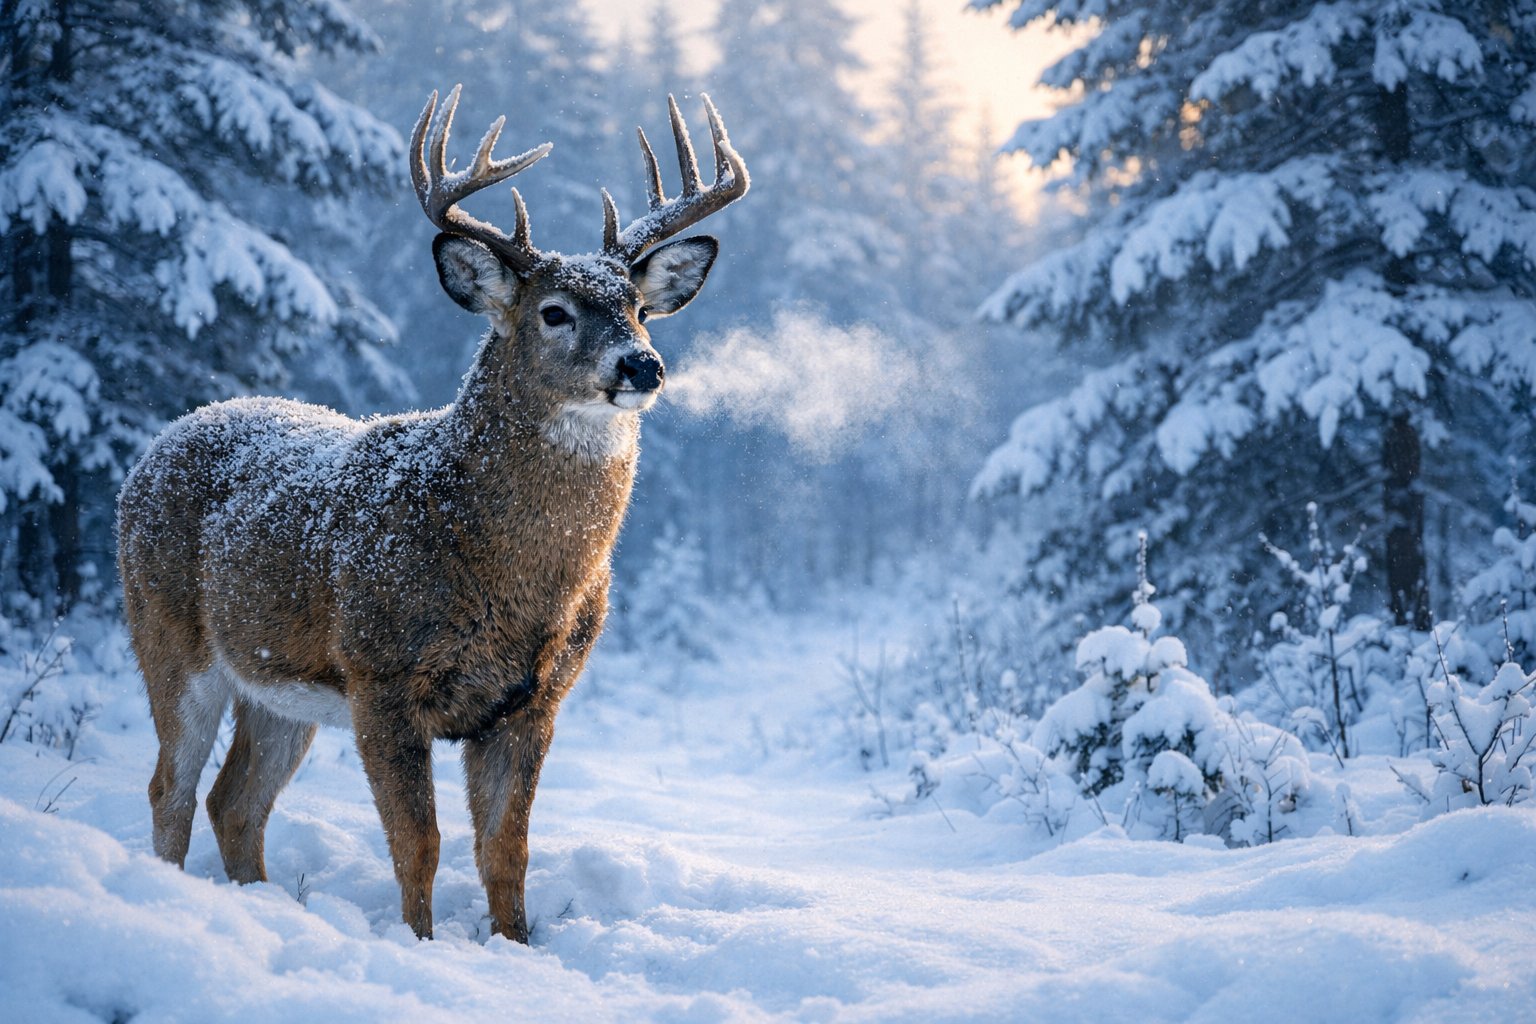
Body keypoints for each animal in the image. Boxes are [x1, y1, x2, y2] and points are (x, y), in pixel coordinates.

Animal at [115, 84, 748, 943]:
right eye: (554, 311)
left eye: (639, 308)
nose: (642, 364)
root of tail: (162, 442)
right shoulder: (380, 672)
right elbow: (419, 843)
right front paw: (420, 943)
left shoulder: (534, 699)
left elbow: (505, 852)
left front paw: (515, 947)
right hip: (169, 636)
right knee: (171, 789)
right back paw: (171, 900)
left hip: (278, 685)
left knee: (234, 801)